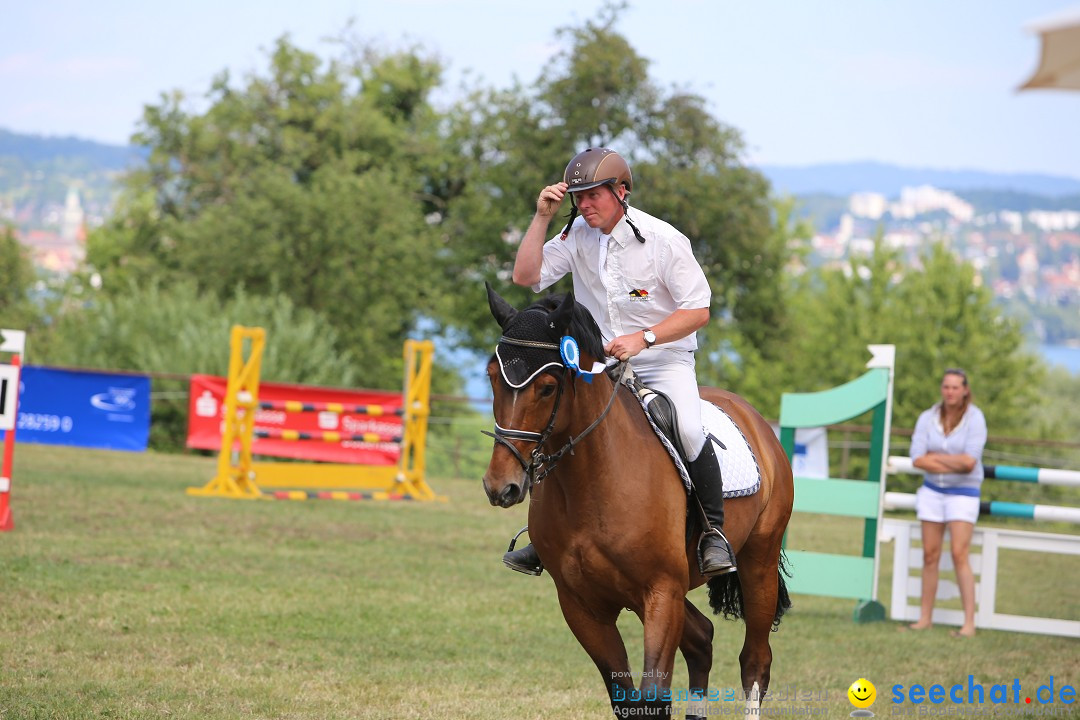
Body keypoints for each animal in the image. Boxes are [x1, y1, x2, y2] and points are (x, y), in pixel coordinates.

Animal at [481, 284, 794, 716]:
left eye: (547, 387)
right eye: (492, 377)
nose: (501, 486)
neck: (594, 481)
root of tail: (756, 420)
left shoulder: (661, 593)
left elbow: (651, 696)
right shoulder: (583, 606)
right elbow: (626, 698)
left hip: (757, 561)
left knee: (755, 662)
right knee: (702, 639)